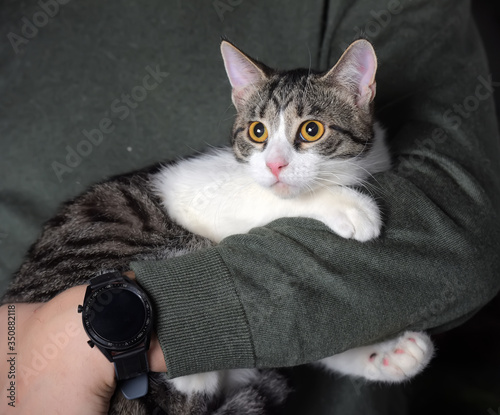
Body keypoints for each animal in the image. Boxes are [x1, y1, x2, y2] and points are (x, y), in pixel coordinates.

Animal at [1, 39, 434, 415]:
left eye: (312, 130)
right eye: (257, 132)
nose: (274, 164)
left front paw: (385, 354)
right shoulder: (197, 188)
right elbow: (268, 197)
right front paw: (349, 203)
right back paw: (193, 376)